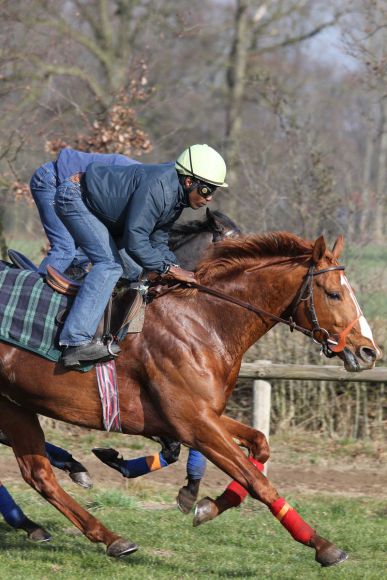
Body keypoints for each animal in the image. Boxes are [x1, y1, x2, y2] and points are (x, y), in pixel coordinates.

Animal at [0, 232, 382, 568]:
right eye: (333, 294)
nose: (369, 352)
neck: (205, 321)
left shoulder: (202, 414)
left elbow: (259, 445)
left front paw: (208, 506)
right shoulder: (193, 422)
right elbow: (258, 481)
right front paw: (323, 546)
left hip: (17, 405)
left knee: (39, 475)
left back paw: (99, 530)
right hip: (11, 406)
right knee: (39, 475)